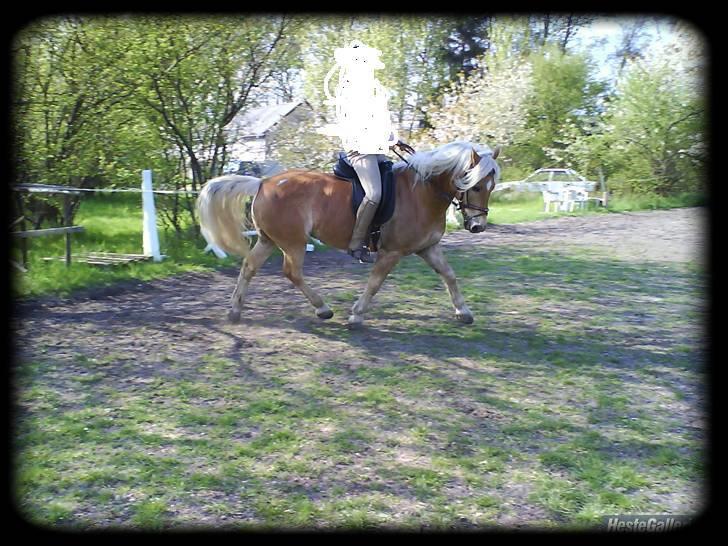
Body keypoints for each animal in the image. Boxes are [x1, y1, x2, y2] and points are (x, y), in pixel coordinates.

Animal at [199, 140, 500, 328]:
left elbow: (449, 275)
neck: (421, 193)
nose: (477, 226)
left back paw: (235, 311)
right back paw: (323, 308)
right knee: (291, 272)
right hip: (293, 242)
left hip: (269, 239)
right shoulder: (392, 252)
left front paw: (464, 312)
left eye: (491, 186)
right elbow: (375, 283)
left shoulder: (428, 247)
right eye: (474, 186)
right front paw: (356, 316)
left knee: (249, 266)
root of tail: (263, 182)